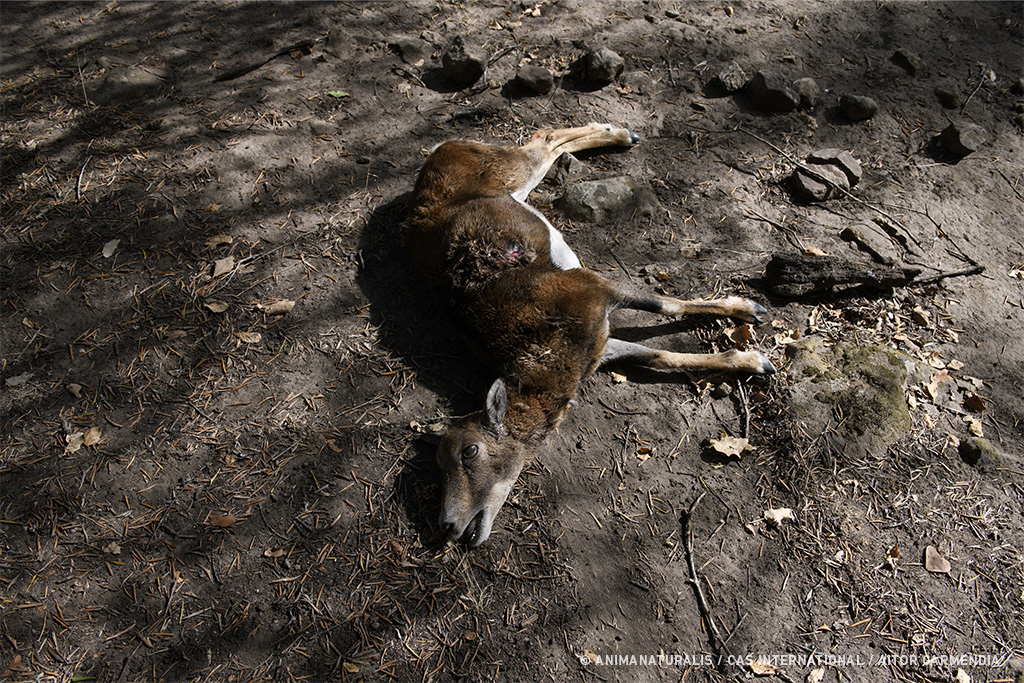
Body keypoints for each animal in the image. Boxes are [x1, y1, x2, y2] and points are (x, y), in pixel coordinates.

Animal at [403, 122, 770, 548]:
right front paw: (754, 360)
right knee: (546, 145)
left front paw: (748, 310)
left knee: (543, 140)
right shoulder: (602, 345)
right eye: (438, 461)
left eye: (470, 451)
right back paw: (621, 135)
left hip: (513, 170)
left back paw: (622, 135)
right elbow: (660, 356)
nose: (447, 525)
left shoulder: (596, 289)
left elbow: (665, 306)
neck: (550, 351)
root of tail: (444, 147)